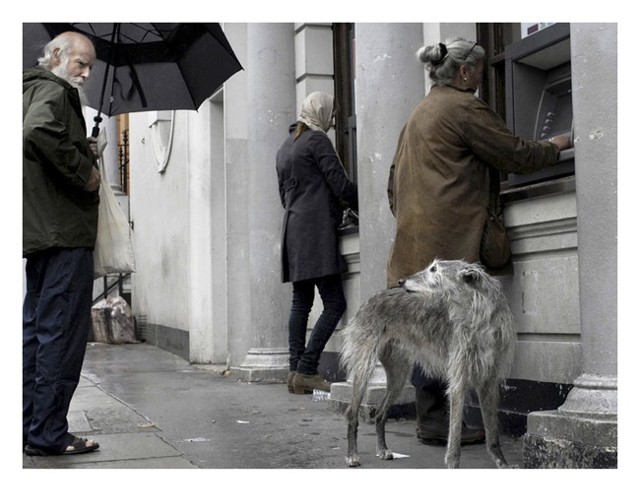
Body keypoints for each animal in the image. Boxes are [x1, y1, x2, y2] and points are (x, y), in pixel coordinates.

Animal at [342, 260, 516, 470]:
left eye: (434, 269)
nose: (401, 281)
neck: (479, 317)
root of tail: (371, 298)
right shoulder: (458, 381)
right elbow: (455, 436)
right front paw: (453, 464)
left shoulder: (489, 382)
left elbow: (492, 434)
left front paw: (502, 463)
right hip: (364, 367)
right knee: (351, 413)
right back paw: (352, 455)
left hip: (398, 376)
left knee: (380, 414)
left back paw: (382, 449)